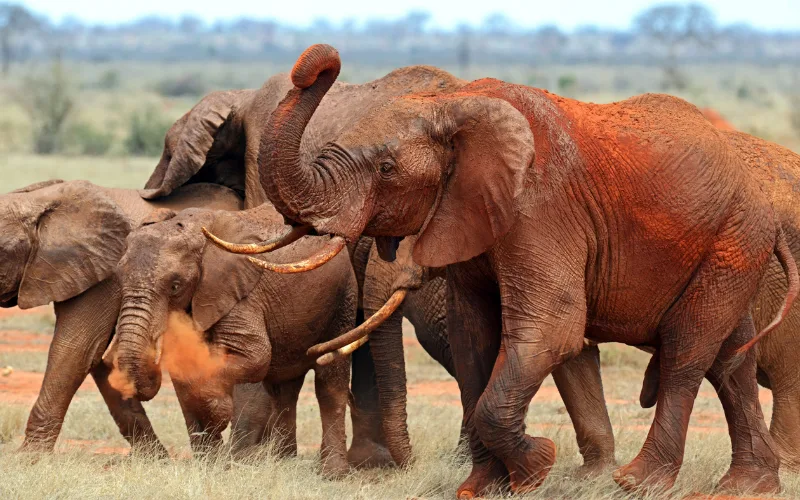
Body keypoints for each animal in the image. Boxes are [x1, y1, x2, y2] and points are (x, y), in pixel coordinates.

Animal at [0, 179, 242, 454]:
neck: (40, 199)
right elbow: (97, 359)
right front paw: (155, 458)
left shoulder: (99, 277)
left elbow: (75, 349)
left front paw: (29, 457)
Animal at [104, 203, 357, 477]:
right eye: (119, 280)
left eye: (175, 285)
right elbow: (185, 370)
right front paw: (207, 465)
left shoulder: (237, 294)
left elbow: (255, 357)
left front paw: (217, 412)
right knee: (284, 389)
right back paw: (280, 462)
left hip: (343, 299)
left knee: (329, 381)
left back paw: (332, 473)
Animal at [211, 44, 798, 497]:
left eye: (386, 169)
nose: (320, 61)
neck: (452, 105)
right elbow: (474, 337)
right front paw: (481, 487)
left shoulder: (541, 209)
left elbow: (553, 328)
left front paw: (537, 465)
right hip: (730, 246)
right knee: (730, 358)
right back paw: (746, 487)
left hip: (732, 238)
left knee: (687, 349)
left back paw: (639, 482)